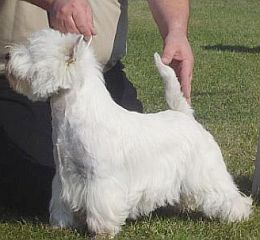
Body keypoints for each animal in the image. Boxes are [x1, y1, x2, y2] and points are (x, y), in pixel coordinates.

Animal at [6, 29, 253, 235]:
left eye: (32, 51)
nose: (7, 55)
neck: (70, 115)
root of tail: (185, 115)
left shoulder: (101, 179)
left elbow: (101, 206)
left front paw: (102, 231)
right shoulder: (64, 176)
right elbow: (61, 202)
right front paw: (61, 224)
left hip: (206, 169)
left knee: (227, 194)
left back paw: (238, 215)